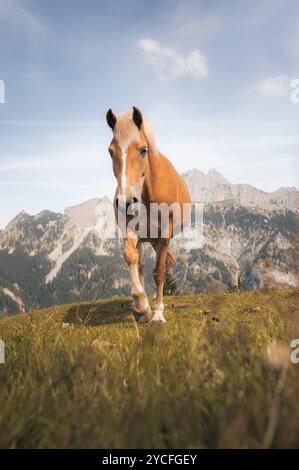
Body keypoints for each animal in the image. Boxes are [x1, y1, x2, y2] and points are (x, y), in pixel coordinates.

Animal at [106, 105, 191, 324]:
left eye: (143, 150)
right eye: (110, 152)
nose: (126, 202)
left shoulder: (165, 235)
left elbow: (159, 272)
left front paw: (158, 312)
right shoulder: (131, 230)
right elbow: (131, 258)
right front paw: (141, 305)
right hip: (145, 238)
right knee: (141, 264)